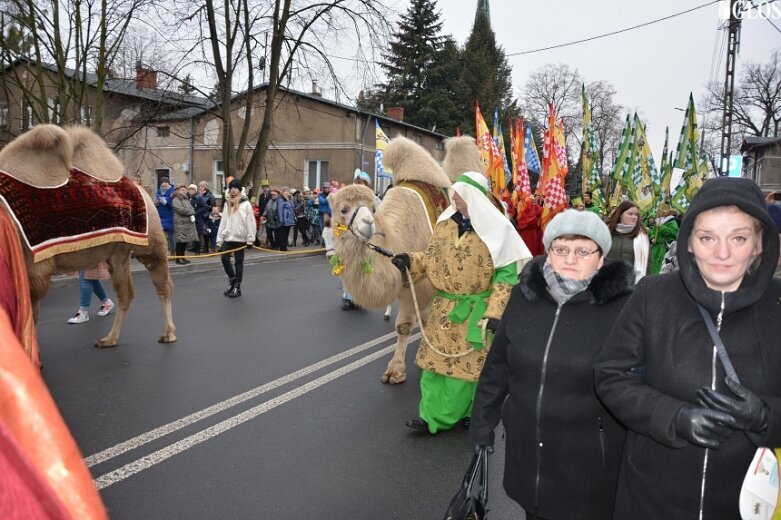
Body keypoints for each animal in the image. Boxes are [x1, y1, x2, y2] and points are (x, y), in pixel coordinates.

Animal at [0, 124, 177, 348]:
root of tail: (142, 188)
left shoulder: (33, 264)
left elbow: (31, 315)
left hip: (150, 239)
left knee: (163, 283)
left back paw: (168, 334)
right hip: (117, 253)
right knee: (126, 293)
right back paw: (109, 339)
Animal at [330, 136, 458, 384]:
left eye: (373, 208)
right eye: (343, 209)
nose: (368, 224)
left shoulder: (417, 281)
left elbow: (406, 325)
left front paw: (396, 371)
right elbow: (418, 320)